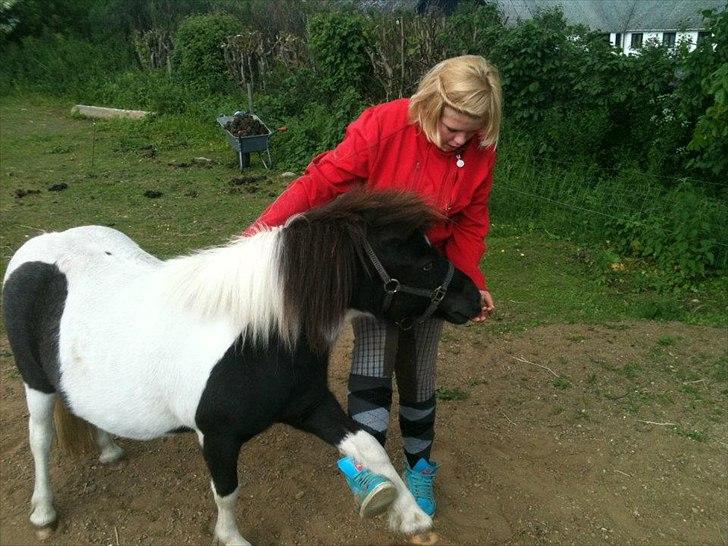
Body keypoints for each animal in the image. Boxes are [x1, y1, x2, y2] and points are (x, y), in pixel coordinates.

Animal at [2, 188, 480, 544]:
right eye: (423, 262)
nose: (474, 300)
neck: (259, 335)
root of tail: (37, 246)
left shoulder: (310, 405)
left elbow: (368, 447)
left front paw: (413, 517)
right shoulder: (216, 436)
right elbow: (227, 492)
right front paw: (231, 537)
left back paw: (108, 450)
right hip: (36, 383)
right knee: (40, 440)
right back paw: (43, 512)